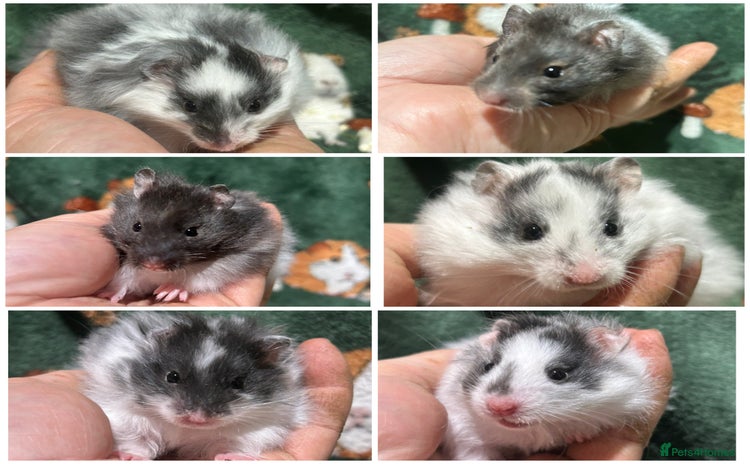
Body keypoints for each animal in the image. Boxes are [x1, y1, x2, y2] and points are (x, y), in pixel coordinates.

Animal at [78, 312, 308, 460]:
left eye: (238, 383)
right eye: (172, 376)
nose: (198, 418)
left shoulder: (261, 428)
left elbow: (232, 445)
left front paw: (230, 457)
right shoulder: (124, 417)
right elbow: (137, 442)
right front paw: (130, 457)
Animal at [99, 168, 295, 304]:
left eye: (191, 231)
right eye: (136, 226)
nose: (152, 265)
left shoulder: (238, 258)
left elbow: (196, 277)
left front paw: (168, 291)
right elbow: (126, 277)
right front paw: (108, 295)